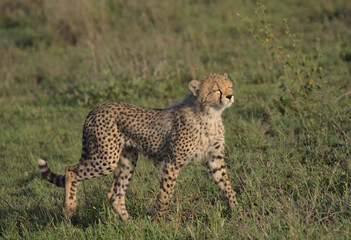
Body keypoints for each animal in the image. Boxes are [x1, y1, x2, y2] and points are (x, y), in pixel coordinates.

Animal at [37, 73, 238, 221]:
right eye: (216, 89)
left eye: (229, 86)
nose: (230, 96)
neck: (210, 114)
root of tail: (96, 108)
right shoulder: (172, 162)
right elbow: (166, 194)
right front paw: (160, 222)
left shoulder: (214, 157)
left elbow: (226, 185)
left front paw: (237, 211)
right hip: (106, 158)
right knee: (71, 170)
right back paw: (69, 208)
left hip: (127, 159)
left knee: (115, 194)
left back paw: (129, 223)